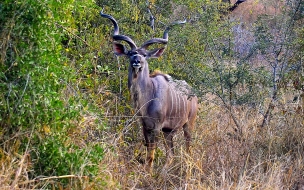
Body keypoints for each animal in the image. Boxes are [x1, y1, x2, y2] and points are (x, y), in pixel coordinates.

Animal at [101, 11, 198, 172]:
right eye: (131, 53)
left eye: (145, 54)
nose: (137, 61)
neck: (147, 98)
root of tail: (194, 95)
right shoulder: (145, 125)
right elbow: (148, 148)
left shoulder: (157, 127)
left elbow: (151, 153)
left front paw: (148, 174)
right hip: (168, 131)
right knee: (171, 154)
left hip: (188, 125)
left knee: (188, 152)